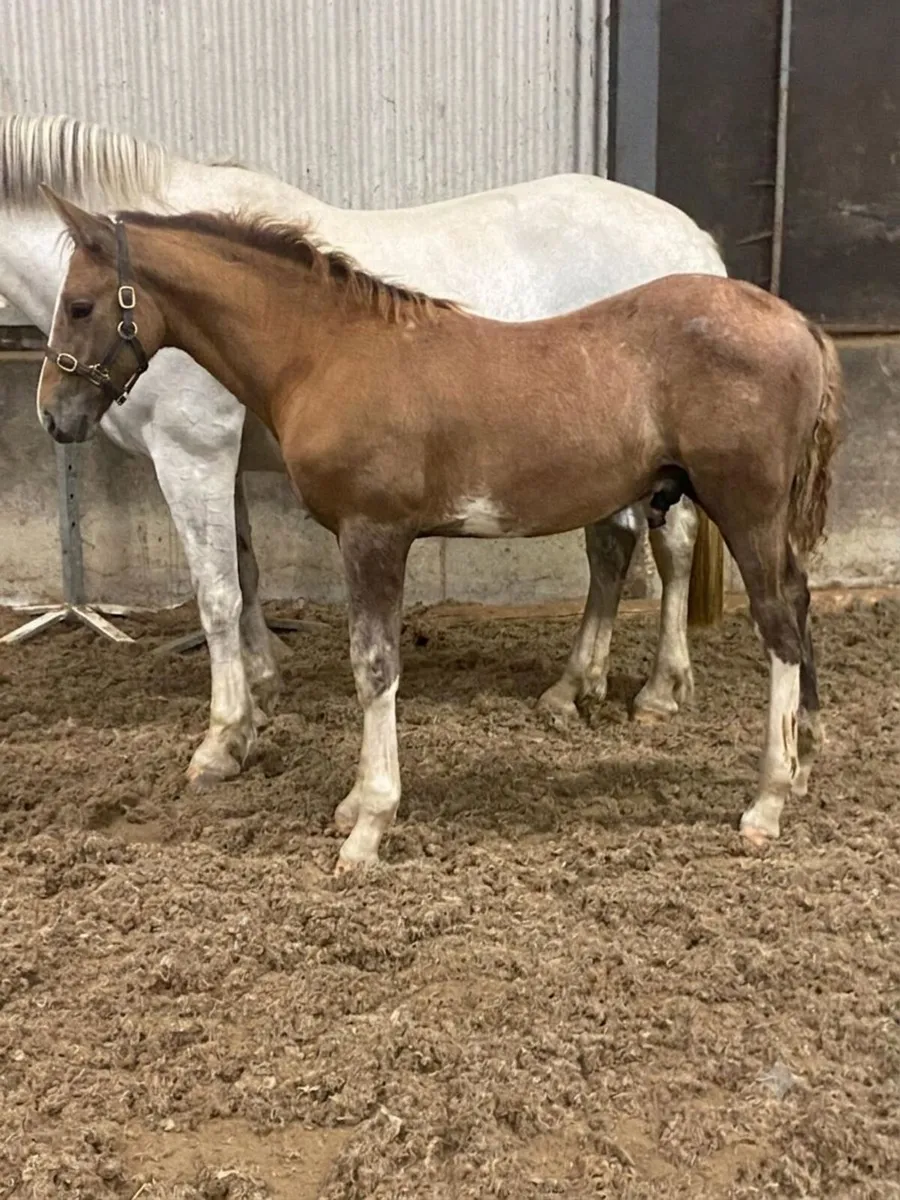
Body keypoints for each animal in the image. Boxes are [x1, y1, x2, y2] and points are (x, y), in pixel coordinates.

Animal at [0, 114, 726, 787]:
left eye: (81, 306)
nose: (53, 415)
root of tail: (696, 244)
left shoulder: (192, 451)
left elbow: (216, 593)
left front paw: (223, 739)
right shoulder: (223, 462)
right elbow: (246, 573)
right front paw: (263, 690)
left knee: (673, 544)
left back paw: (659, 691)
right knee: (613, 548)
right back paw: (575, 686)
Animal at [37, 195, 841, 873]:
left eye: (79, 305)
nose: (54, 415)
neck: (326, 351)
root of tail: (797, 324)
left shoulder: (373, 535)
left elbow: (373, 667)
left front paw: (368, 826)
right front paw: (353, 807)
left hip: (745, 507)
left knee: (778, 625)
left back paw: (766, 801)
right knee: (797, 601)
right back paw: (801, 763)